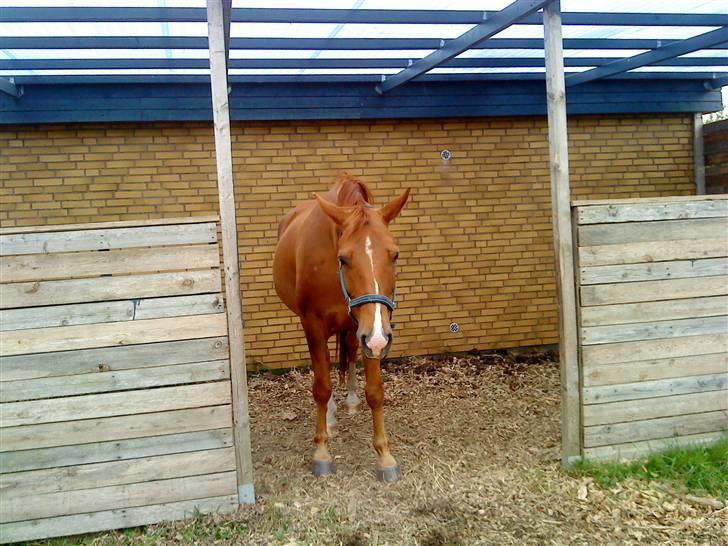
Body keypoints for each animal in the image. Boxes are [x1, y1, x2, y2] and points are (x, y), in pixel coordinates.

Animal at [272, 171, 410, 480]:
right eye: (343, 258)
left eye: (395, 255)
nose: (379, 338)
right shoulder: (314, 325)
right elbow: (322, 387)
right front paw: (321, 452)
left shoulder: (371, 330)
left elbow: (376, 391)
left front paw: (384, 455)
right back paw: (333, 415)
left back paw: (351, 400)